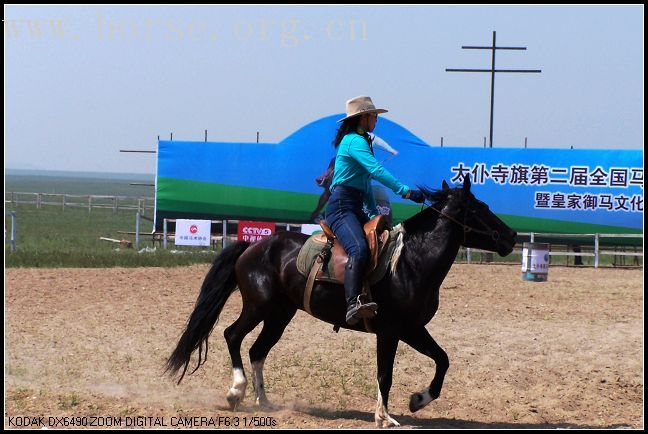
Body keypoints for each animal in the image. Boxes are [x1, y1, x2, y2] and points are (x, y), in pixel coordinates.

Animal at [167, 176, 516, 428]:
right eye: (480, 208)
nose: (511, 236)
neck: (410, 262)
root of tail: (253, 246)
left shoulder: (413, 329)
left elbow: (442, 359)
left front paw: (418, 399)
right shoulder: (390, 332)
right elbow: (385, 374)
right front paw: (384, 417)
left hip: (280, 315)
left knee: (257, 350)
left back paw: (263, 401)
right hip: (258, 307)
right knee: (232, 336)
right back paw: (235, 391)